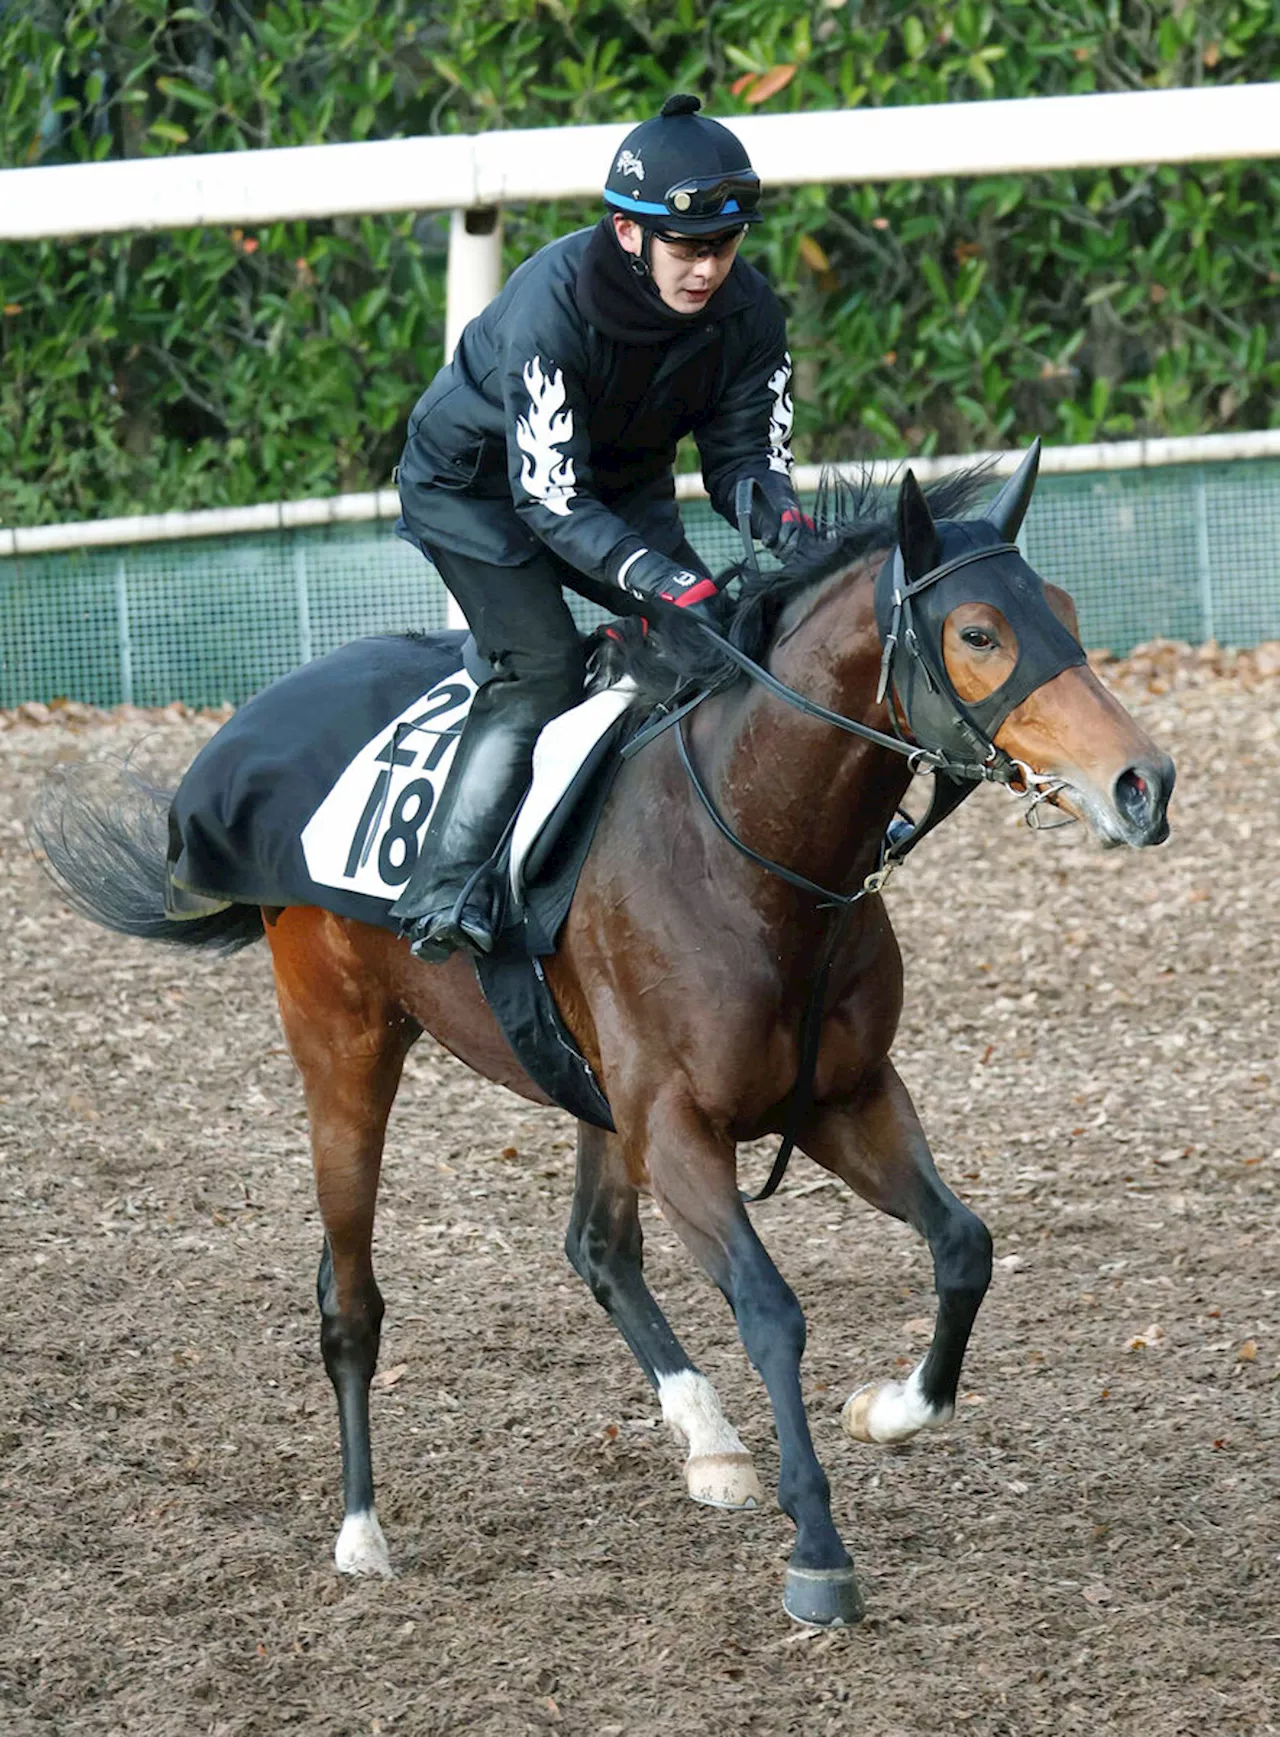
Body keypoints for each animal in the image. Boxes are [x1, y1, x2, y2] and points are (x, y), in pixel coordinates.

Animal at [32, 451, 1167, 1625]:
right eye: (978, 631)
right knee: (350, 1295)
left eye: (1066, 613)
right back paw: (360, 1529)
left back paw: (708, 1440)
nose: (1143, 783)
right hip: (344, 1049)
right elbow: (770, 1308)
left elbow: (962, 1245)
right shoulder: (677, 1127)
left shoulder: (840, 1097)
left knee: (597, 1247)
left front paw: (888, 1408)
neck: (754, 851)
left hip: (590, 1091)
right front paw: (817, 1550)